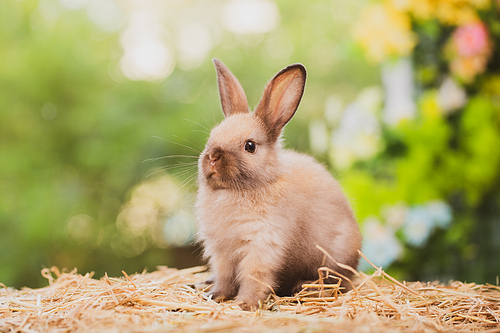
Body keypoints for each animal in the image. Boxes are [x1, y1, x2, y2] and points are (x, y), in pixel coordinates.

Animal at [193, 58, 362, 310]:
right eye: (211, 137)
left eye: (250, 146)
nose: (213, 157)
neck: (234, 191)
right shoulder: (221, 253)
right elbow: (224, 278)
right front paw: (216, 295)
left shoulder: (262, 246)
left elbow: (254, 278)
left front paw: (245, 304)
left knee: (337, 283)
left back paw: (306, 288)